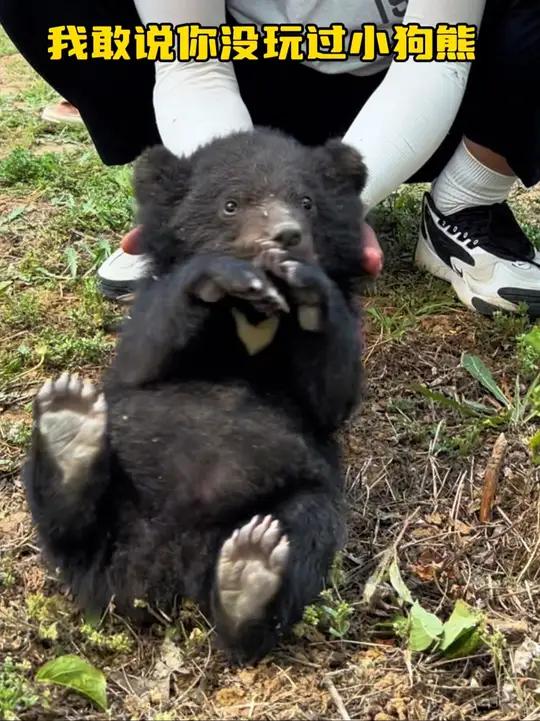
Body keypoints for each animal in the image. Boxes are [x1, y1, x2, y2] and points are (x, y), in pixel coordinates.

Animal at [22, 127, 368, 665]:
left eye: (307, 202)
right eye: (231, 204)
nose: (286, 235)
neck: (254, 315)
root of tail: (159, 562)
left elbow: (331, 395)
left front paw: (308, 282)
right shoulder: (149, 312)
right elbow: (142, 353)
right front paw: (221, 271)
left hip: (296, 493)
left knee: (306, 530)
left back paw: (249, 578)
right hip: (112, 498)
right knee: (69, 530)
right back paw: (68, 427)